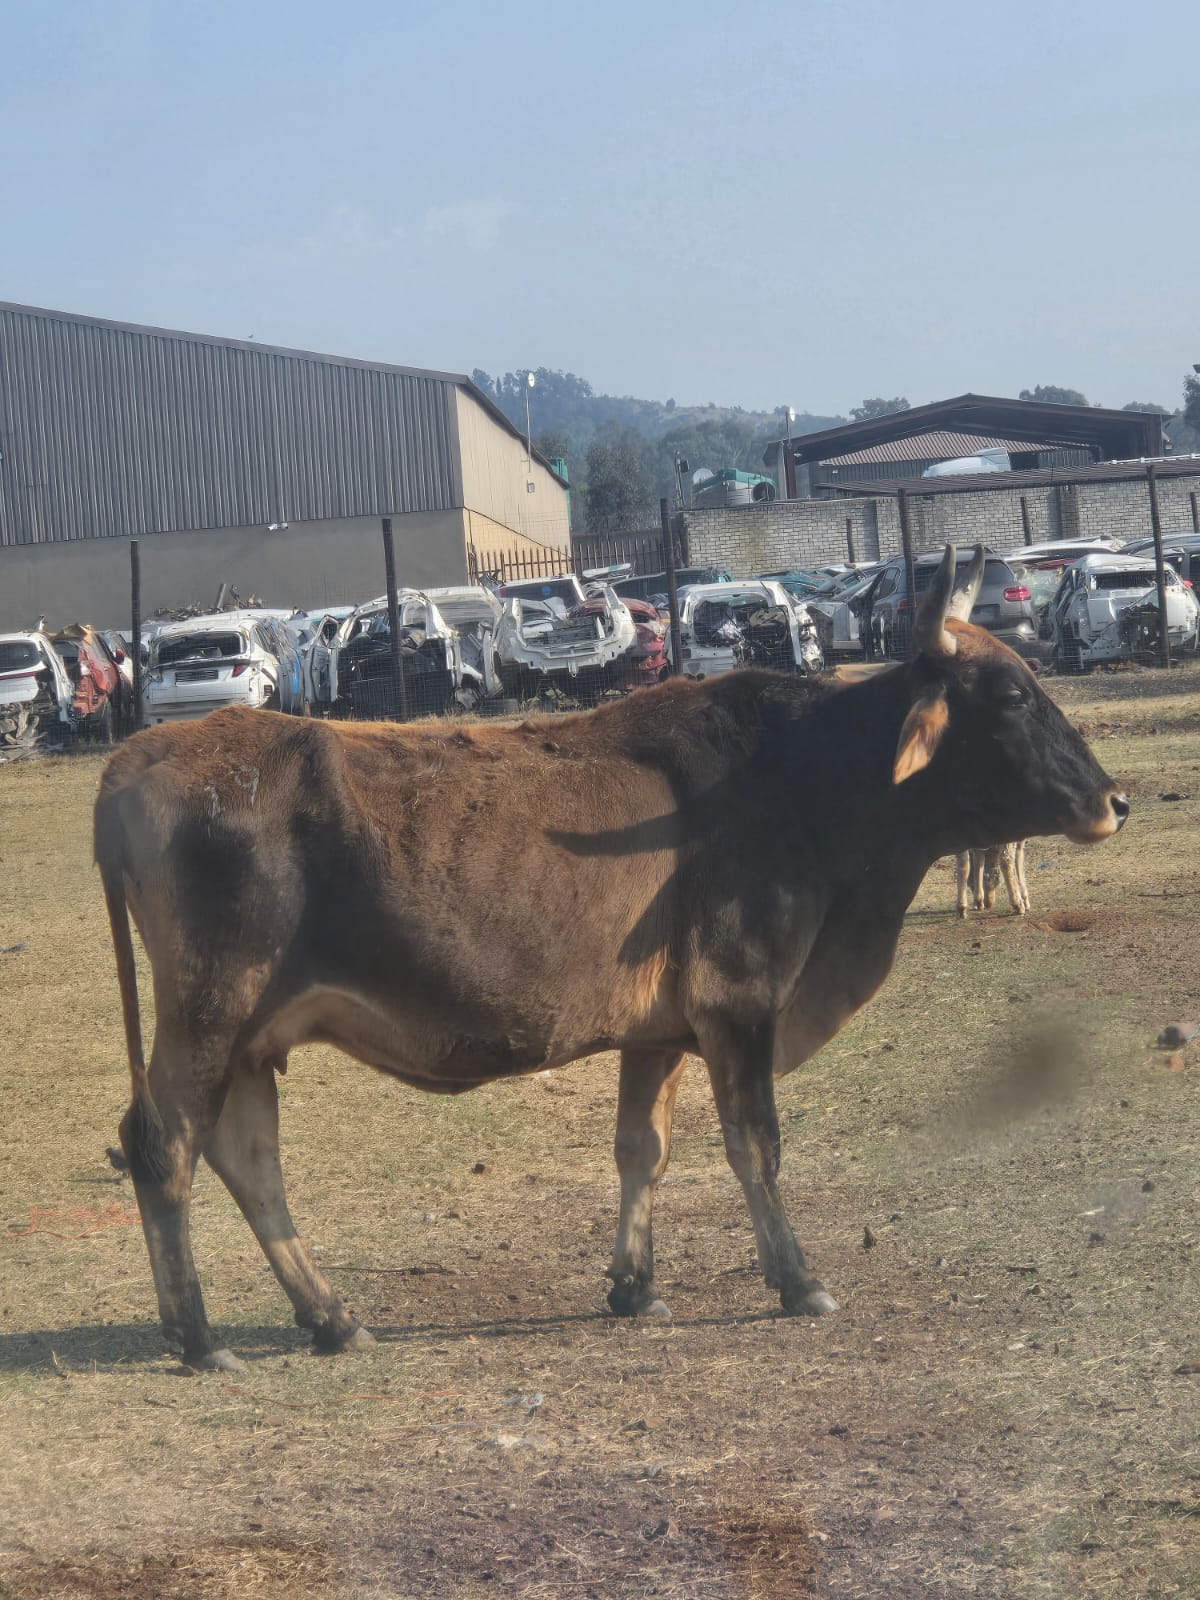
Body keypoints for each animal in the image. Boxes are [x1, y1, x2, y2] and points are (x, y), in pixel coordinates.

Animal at [96, 546, 1127, 1372]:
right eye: (1011, 696)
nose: (1113, 801)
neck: (802, 779)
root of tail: (140, 758)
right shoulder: (739, 1004)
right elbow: (756, 1146)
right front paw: (796, 1280)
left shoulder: (659, 1031)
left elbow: (644, 1150)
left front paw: (635, 1285)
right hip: (208, 1014)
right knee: (165, 1146)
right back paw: (198, 1336)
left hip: (249, 1038)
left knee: (248, 1162)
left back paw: (329, 1316)